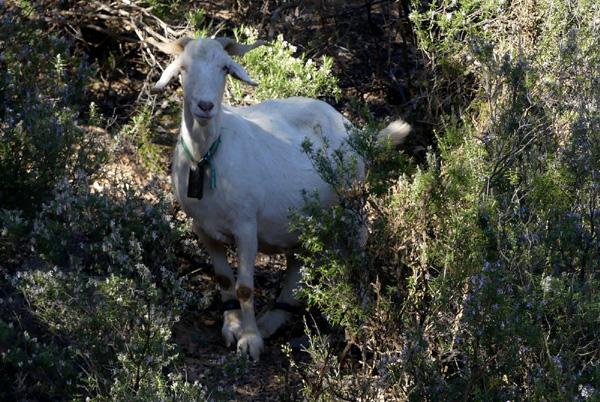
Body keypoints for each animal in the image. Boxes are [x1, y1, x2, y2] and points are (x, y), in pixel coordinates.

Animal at [148, 36, 410, 361]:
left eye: (225, 68)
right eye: (183, 68)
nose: (205, 106)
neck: (206, 157)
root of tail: (354, 131)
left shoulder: (246, 226)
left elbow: (245, 287)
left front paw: (249, 341)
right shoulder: (202, 227)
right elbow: (224, 279)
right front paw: (232, 327)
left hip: (353, 208)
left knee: (358, 261)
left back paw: (360, 321)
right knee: (298, 262)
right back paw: (273, 320)